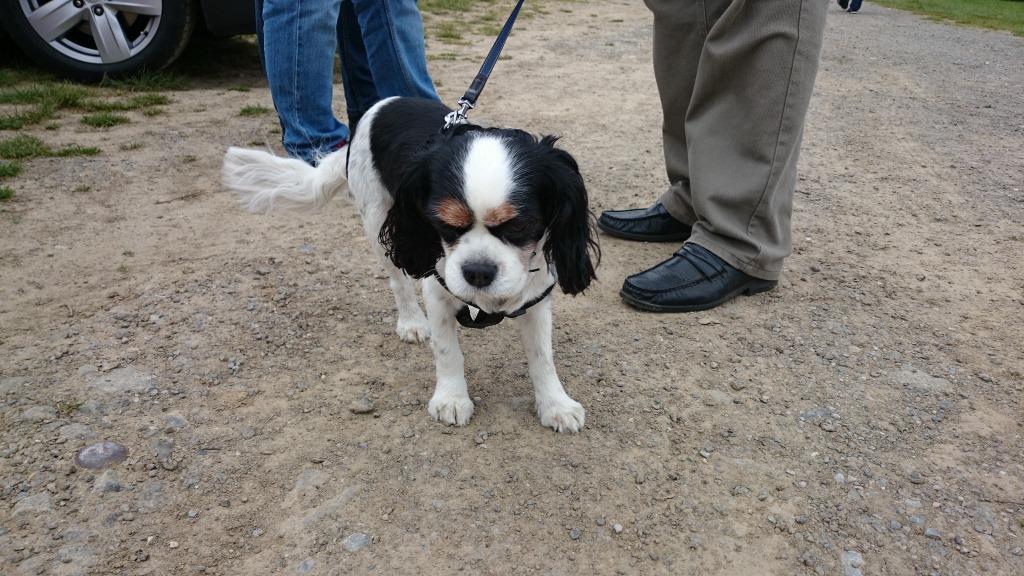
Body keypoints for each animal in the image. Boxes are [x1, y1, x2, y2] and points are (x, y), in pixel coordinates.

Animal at [222, 97, 598, 433]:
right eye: (444, 224)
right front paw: (451, 398)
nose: (477, 271)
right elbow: (447, 350)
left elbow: (542, 357)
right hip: (377, 222)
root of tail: (381, 105)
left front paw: (555, 404)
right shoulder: (436, 286)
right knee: (399, 282)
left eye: (520, 226)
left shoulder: (536, 299)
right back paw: (412, 322)